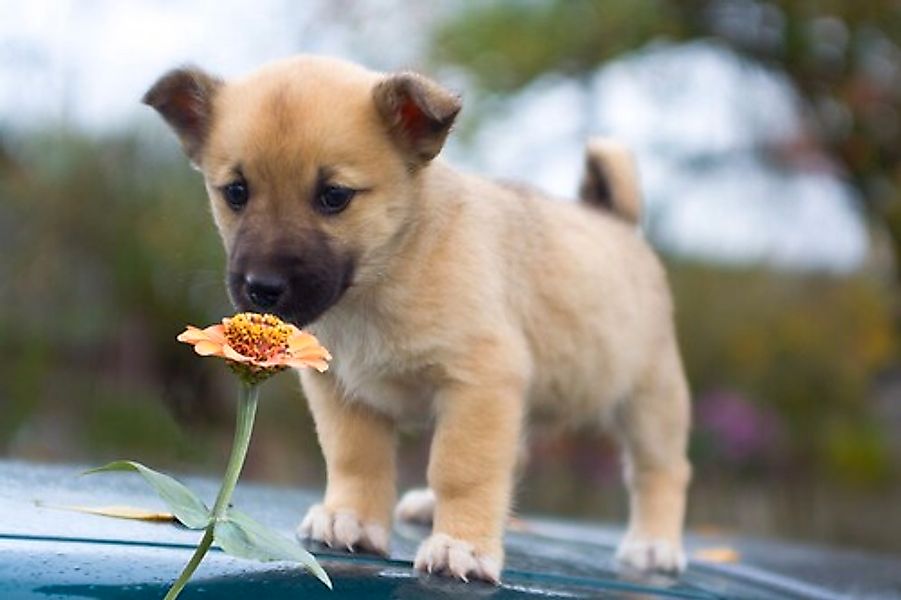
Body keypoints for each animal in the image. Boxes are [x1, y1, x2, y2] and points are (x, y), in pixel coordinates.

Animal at [144, 55, 692, 580]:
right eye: (236, 192)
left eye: (334, 196)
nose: (263, 288)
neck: (384, 279)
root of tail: (617, 222)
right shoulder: (343, 391)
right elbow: (355, 458)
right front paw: (351, 518)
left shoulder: (479, 384)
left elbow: (462, 470)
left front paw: (462, 545)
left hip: (650, 402)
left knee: (661, 472)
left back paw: (653, 544)